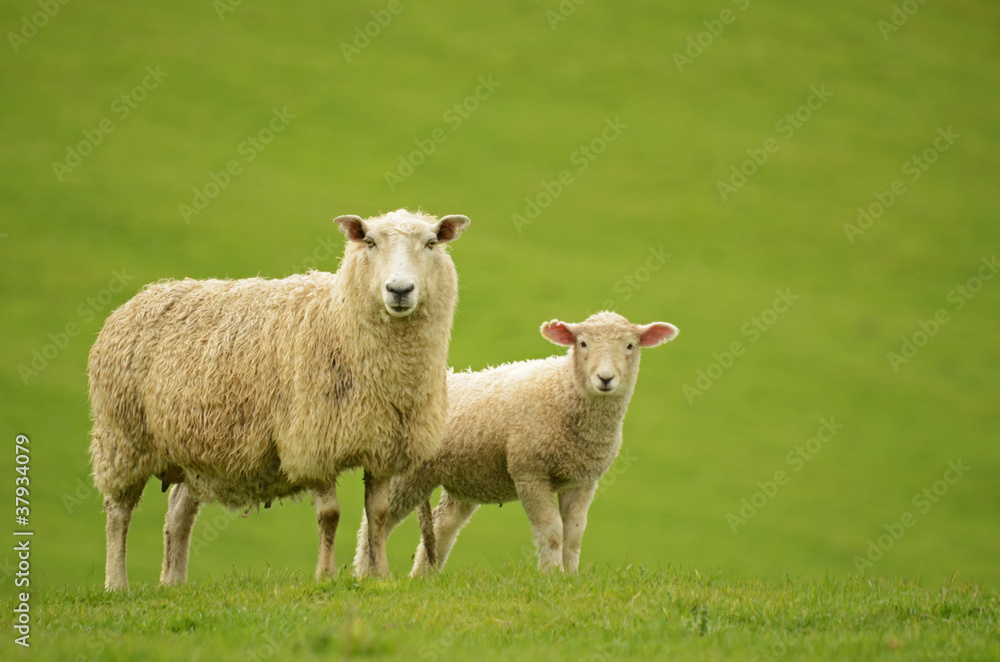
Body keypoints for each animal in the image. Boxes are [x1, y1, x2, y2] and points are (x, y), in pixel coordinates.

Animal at [88, 209, 470, 592]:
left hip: (193, 450)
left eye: (431, 243)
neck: (339, 323)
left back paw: (174, 583)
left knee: (178, 514)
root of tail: (144, 296)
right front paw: (325, 576)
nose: (399, 290)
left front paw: (380, 576)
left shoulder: (383, 445)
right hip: (122, 438)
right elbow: (330, 516)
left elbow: (377, 514)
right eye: (369, 241)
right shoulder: (313, 442)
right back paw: (117, 584)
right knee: (118, 513)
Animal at [354, 312, 680, 576]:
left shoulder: (583, 480)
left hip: (464, 477)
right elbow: (552, 531)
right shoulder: (529, 472)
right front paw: (551, 576)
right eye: (583, 343)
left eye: (630, 346)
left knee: (442, 526)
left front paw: (571, 577)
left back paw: (424, 577)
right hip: (407, 476)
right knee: (376, 523)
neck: (563, 391)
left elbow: (574, 534)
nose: (605, 378)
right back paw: (365, 575)